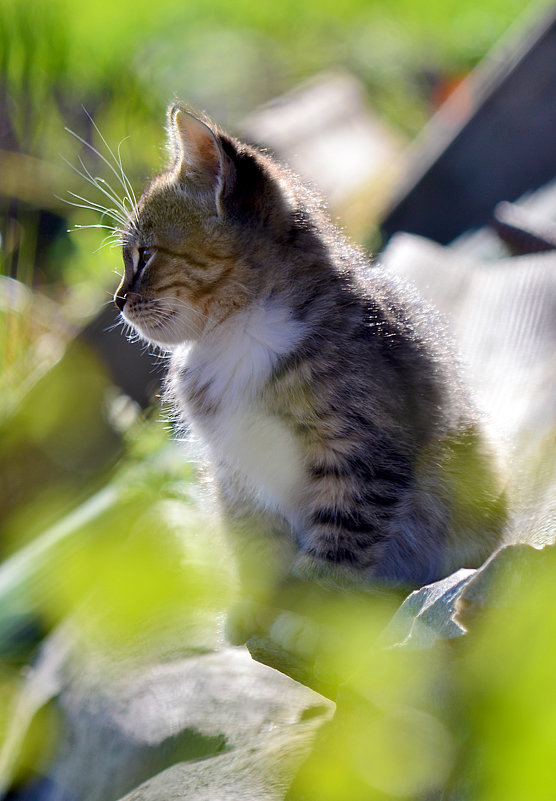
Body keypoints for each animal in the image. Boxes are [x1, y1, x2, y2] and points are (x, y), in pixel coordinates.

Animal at [115, 108, 506, 644]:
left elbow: (342, 537)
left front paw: (309, 613)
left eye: (144, 255)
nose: (117, 300)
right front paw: (259, 604)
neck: (236, 337)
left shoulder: (362, 453)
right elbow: (255, 540)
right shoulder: (234, 470)